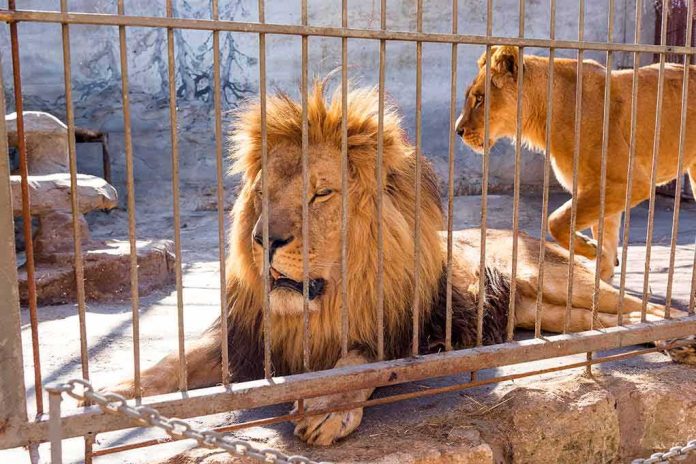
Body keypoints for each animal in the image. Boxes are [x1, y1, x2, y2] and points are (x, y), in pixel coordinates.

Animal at [101, 81, 691, 448]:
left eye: (321, 194)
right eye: (263, 192)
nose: (263, 238)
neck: (321, 304)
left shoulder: (396, 331)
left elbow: (355, 364)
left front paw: (323, 408)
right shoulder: (242, 336)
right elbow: (165, 368)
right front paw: (107, 403)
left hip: (555, 279)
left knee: (638, 302)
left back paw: (678, 334)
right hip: (546, 313)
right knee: (612, 324)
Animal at [455, 46, 696, 282]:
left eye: (480, 99)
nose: (458, 131)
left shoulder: (629, 181)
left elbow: (556, 220)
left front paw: (592, 249)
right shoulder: (600, 188)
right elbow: (605, 235)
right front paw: (602, 266)